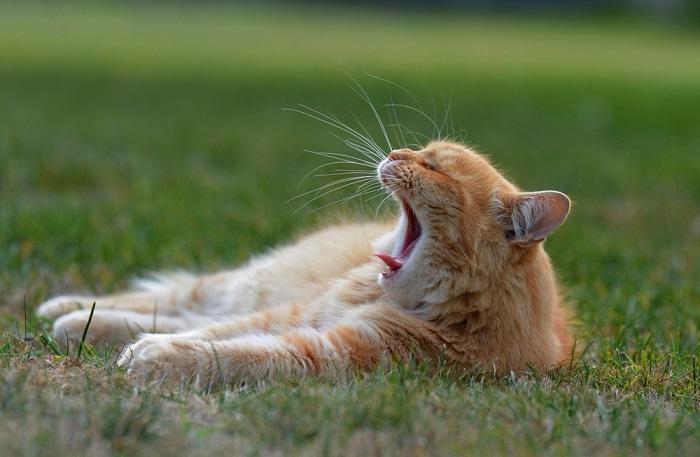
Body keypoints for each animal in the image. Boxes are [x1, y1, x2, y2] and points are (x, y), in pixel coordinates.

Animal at [37, 142, 576, 384]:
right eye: (423, 151)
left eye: (433, 166)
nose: (393, 152)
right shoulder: (297, 315)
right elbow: (213, 333)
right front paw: (146, 348)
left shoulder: (326, 350)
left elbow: (232, 351)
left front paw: (155, 355)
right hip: (249, 286)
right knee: (184, 299)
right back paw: (64, 311)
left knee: (184, 310)